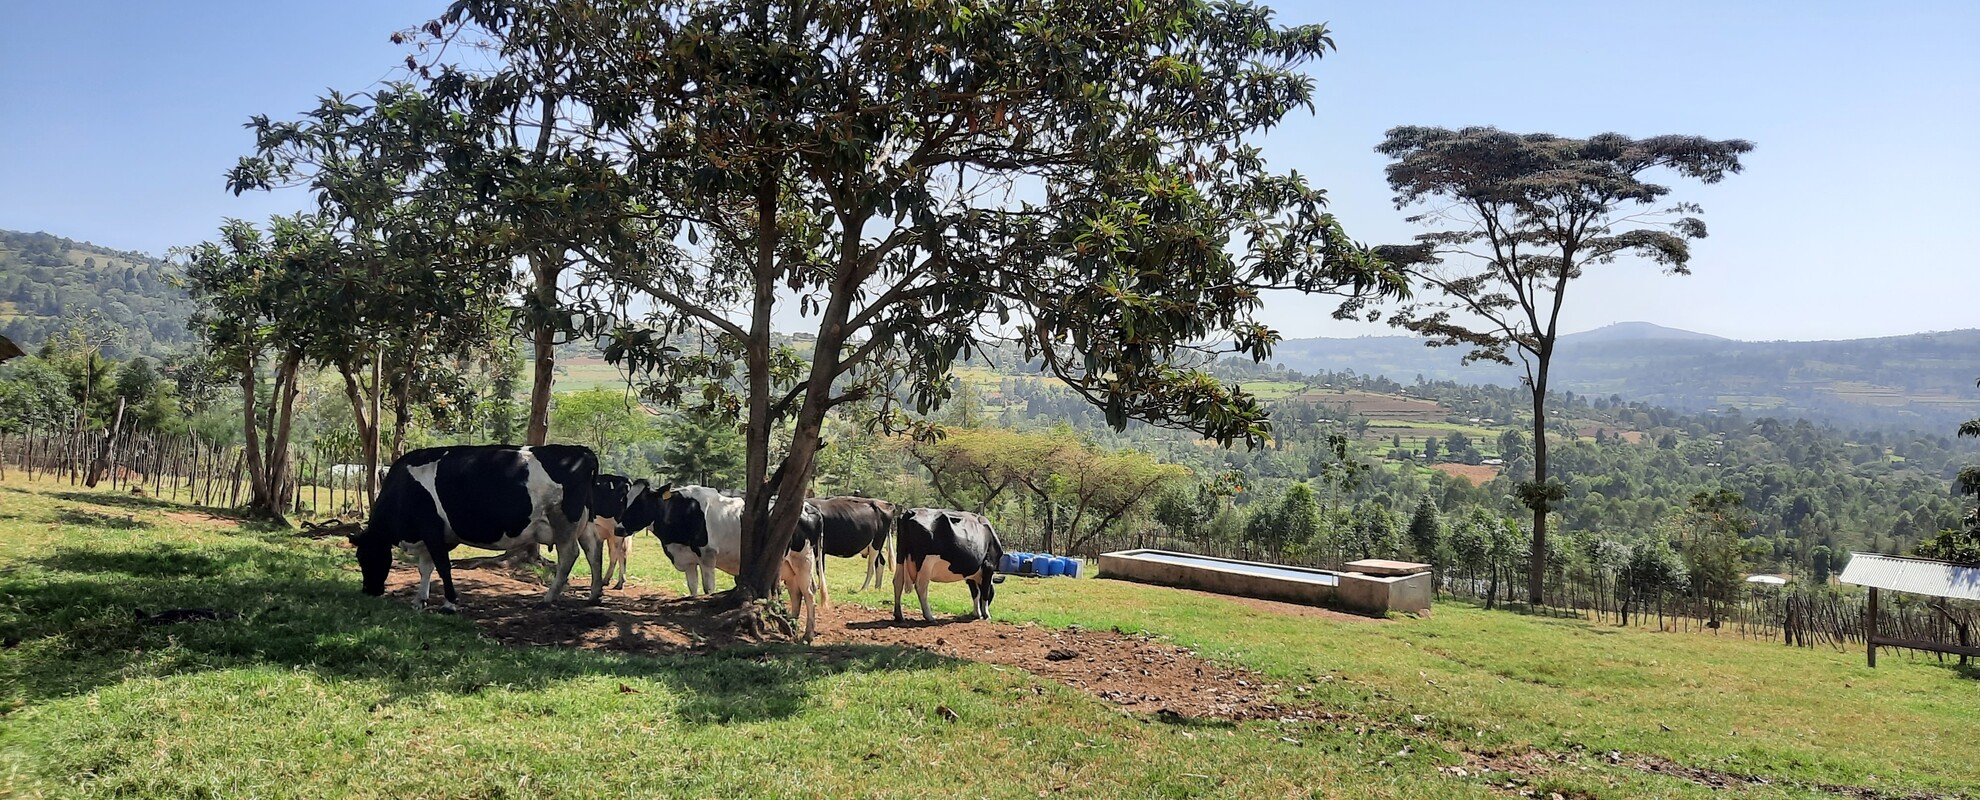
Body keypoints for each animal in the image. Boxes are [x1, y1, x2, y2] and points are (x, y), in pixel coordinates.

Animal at [356, 443, 597, 613]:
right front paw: (419, 600)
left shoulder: (432, 531)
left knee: (569, 555)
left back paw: (548, 598)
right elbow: (425, 568)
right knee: (593, 552)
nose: (369, 591)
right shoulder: (432, 536)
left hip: (563, 519)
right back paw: (594, 595)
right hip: (586, 523)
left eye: (364, 557)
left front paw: (449, 604)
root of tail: (582, 451)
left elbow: (442, 567)